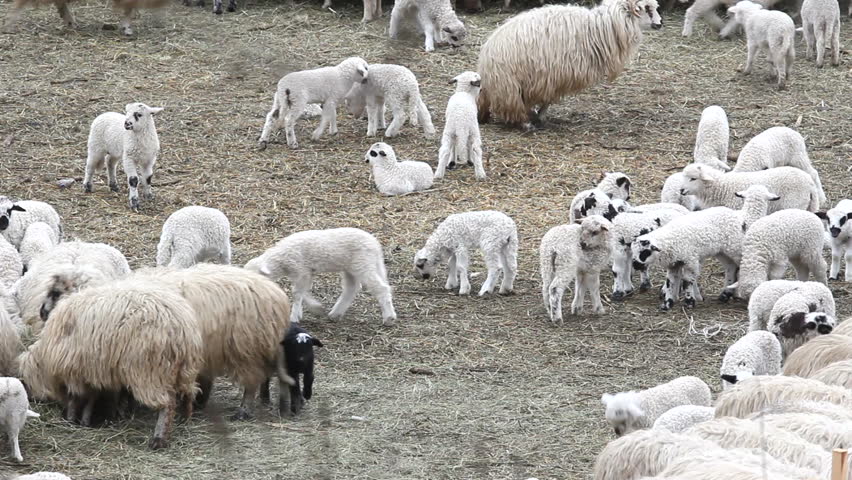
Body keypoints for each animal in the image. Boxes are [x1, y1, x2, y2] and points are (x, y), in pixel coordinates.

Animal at [19, 277, 203, 449]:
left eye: (54, 293)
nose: (41, 312)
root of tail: (181, 327)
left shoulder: (73, 371)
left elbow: (76, 398)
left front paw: (71, 419)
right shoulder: (89, 371)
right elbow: (90, 398)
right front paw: (86, 420)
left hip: (150, 371)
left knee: (167, 404)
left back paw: (159, 438)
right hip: (185, 369)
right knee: (188, 393)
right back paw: (185, 418)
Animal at [246, 227, 397, 325]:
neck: (282, 258)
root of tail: (375, 245)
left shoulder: (301, 270)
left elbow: (296, 293)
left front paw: (294, 317)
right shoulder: (306, 272)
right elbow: (302, 292)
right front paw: (315, 308)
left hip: (363, 263)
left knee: (381, 288)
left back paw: (389, 317)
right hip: (351, 267)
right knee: (352, 288)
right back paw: (335, 314)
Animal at [476, 0, 662, 128]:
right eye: (647, 8)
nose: (660, 24)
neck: (601, 27)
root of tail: (485, 60)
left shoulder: (553, 78)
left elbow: (548, 99)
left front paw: (540, 116)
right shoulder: (554, 75)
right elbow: (547, 99)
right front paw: (539, 117)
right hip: (510, 84)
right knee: (513, 104)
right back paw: (525, 123)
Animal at [632, 185, 779, 310]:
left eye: (644, 252)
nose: (635, 266)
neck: (670, 240)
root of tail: (740, 218)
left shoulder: (690, 261)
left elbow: (687, 281)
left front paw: (689, 302)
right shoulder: (674, 264)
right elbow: (670, 282)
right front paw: (667, 304)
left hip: (734, 248)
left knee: (738, 267)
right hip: (722, 251)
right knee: (731, 267)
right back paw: (725, 294)